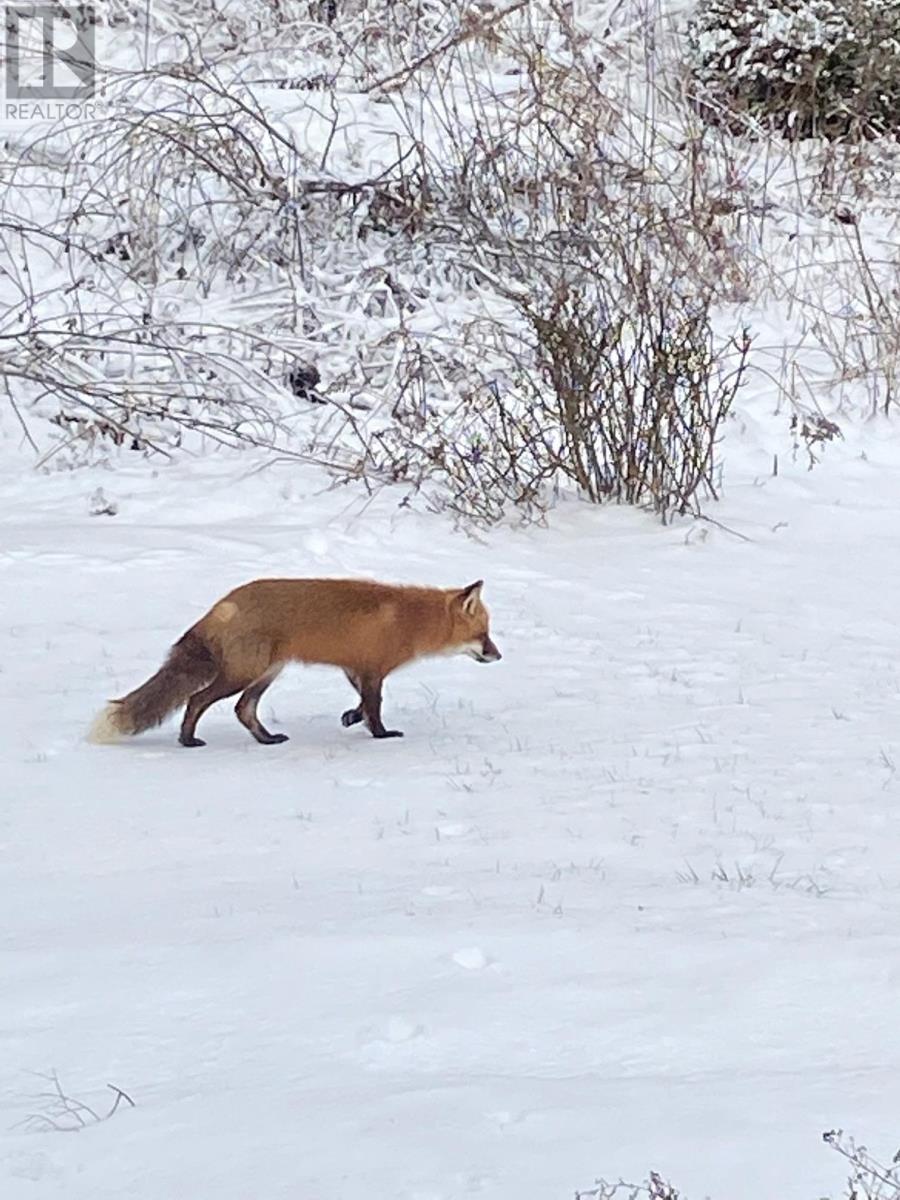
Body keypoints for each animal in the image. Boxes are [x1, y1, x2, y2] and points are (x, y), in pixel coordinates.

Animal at [90, 576, 501, 744]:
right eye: (483, 635)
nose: (498, 655)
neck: (411, 620)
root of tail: (222, 604)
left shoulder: (355, 668)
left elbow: (361, 704)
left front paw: (350, 719)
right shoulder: (373, 670)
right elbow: (374, 707)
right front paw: (381, 735)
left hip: (266, 674)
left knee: (243, 710)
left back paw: (266, 740)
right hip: (244, 673)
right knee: (196, 700)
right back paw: (187, 740)